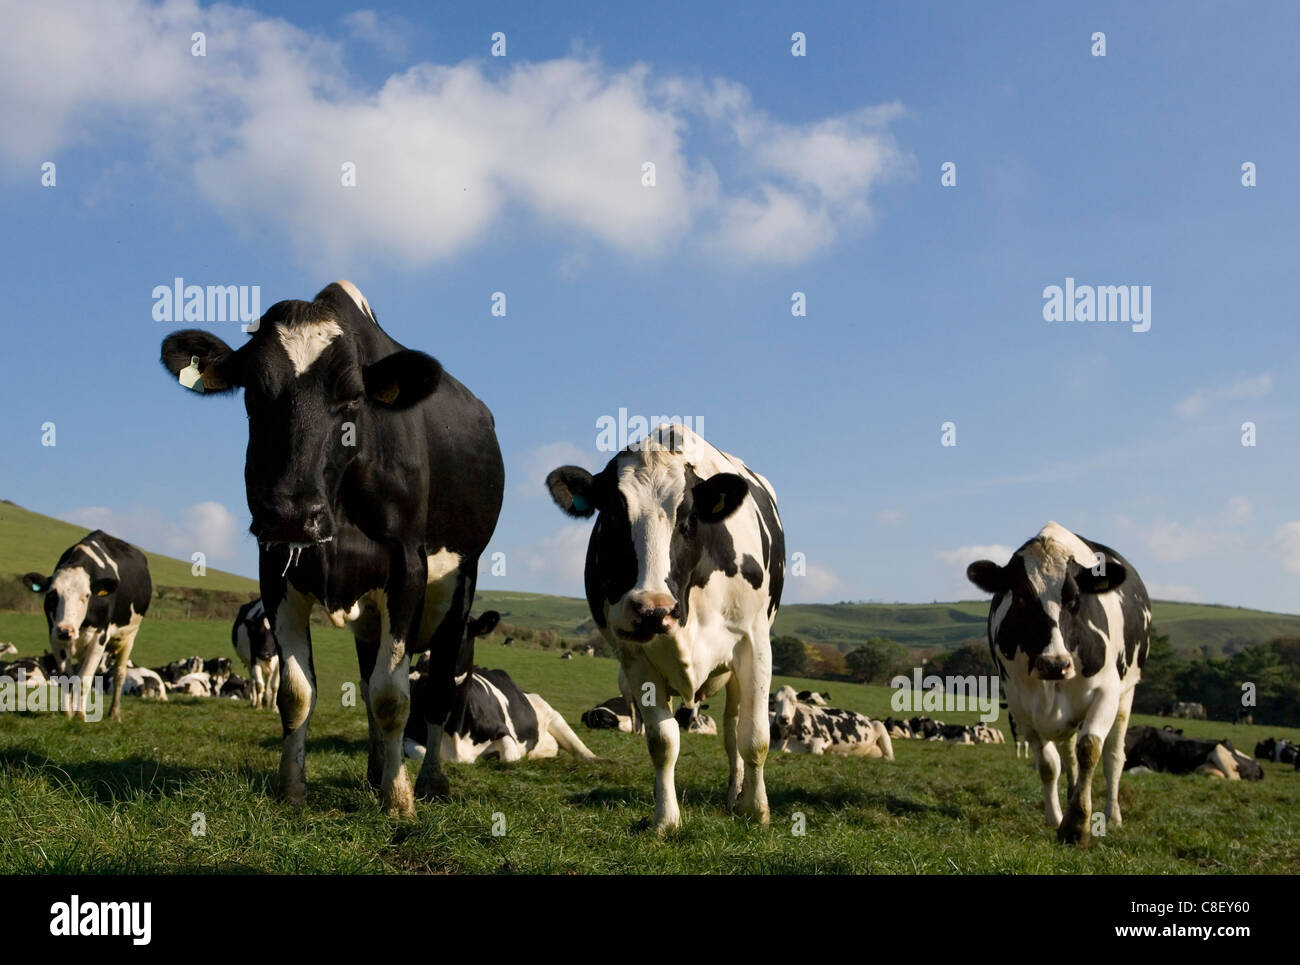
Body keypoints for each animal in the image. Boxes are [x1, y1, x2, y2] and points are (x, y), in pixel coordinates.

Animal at [20, 533, 152, 723]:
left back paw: (114, 713)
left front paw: (80, 716)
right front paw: (68, 714)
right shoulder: (55, 638)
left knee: (119, 674)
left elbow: (85, 680)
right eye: (52, 594)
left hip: (128, 637)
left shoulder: (99, 638)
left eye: (87, 595)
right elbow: (67, 679)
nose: (66, 629)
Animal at [159, 282, 504, 816]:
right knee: (365, 682)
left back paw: (430, 780)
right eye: (253, 392)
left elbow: (393, 696)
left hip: (460, 586)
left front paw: (399, 798)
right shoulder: (275, 567)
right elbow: (299, 692)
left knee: (441, 686)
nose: (292, 512)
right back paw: (375, 770)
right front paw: (293, 788)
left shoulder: (408, 567)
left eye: (353, 397)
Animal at [546, 426, 780, 837]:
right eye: (611, 514)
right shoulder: (634, 655)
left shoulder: (753, 643)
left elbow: (754, 737)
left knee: (732, 729)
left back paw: (735, 794)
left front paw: (756, 811)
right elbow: (663, 741)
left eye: (688, 518)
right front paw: (666, 819)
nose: (653, 609)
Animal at [967, 522, 1149, 847]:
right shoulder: (1020, 706)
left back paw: (1112, 814)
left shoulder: (1106, 693)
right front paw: (1055, 817)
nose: (1054, 664)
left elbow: (1090, 749)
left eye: (1074, 598)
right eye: (1021, 597)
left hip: (1126, 695)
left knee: (1114, 757)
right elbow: (1049, 764)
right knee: (1068, 755)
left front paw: (1076, 826)